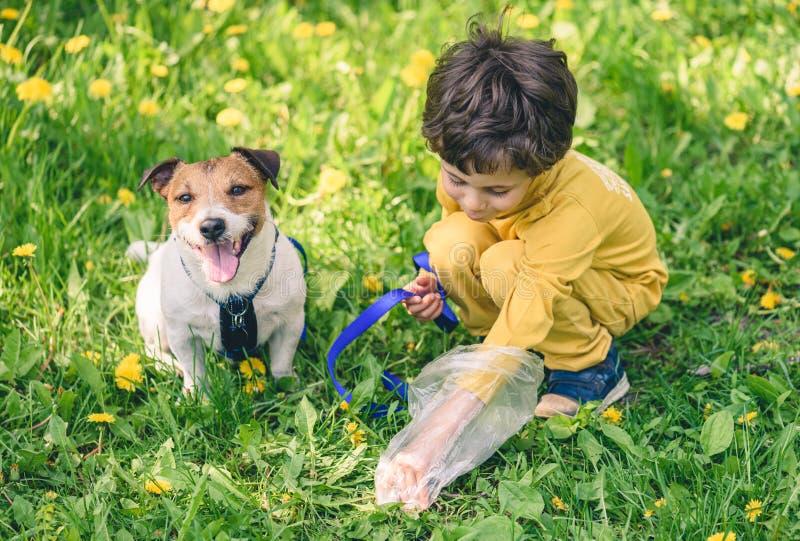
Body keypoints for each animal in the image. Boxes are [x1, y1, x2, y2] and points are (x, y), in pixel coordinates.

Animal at [128, 148, 306, 392]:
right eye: (184, 198)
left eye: (238, 189)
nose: (211, 226)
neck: (231, 291)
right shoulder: (182, 335)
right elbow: (194, 372)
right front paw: (197, 395)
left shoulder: (290, 322)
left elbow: (282, 360)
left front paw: (287, 386)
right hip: (155, 317)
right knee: (151, 347)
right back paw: (168, 365)